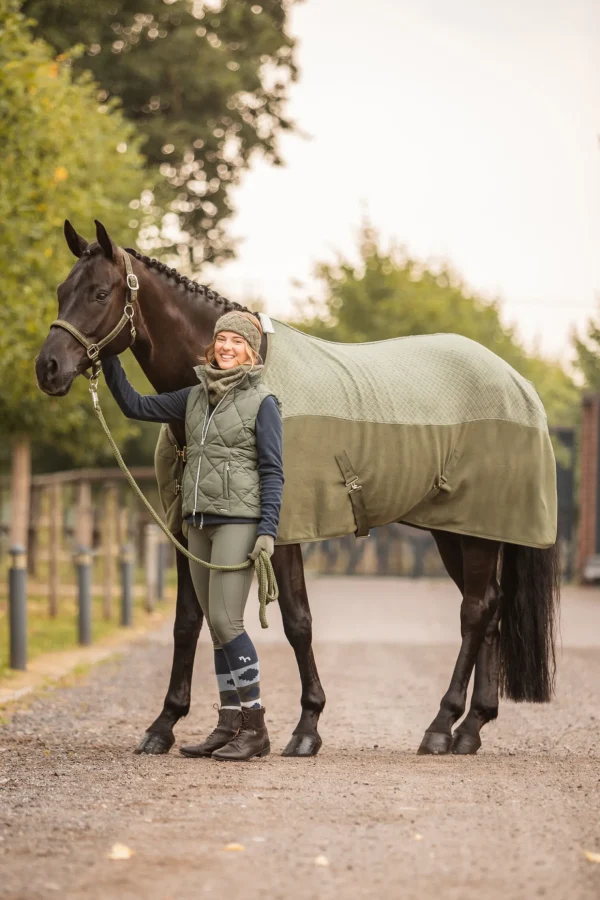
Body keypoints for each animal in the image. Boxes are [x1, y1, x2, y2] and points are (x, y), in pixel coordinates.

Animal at [35, 220, 560, 760]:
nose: (48, 368)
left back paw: (441, 725)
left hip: (475, 532)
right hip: (457, 530)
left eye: (100, 293)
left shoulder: (282, 536)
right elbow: (190, 621)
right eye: (61, 291)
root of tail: (519, 385)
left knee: (474, 612)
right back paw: (471, 728)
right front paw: (165, 725)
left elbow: (296, 621)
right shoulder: (188, 536)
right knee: (490, 608)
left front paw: (306, 727)